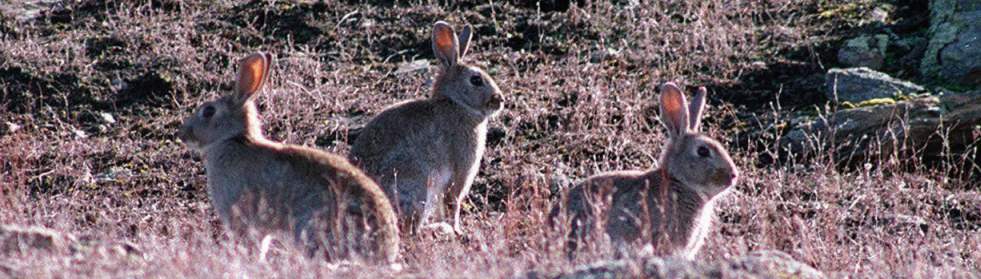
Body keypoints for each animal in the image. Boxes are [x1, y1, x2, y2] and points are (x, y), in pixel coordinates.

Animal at [350, 20, 506, 234]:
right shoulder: (460, 172)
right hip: (417, 187)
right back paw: (438, 229)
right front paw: (457, 230)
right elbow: (453, 203)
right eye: (476, 80)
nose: (500, 100)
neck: (457, 104)